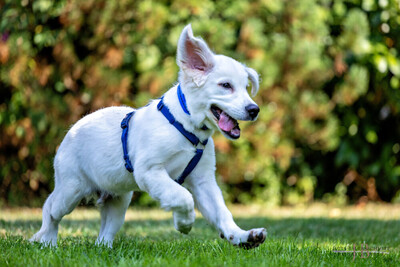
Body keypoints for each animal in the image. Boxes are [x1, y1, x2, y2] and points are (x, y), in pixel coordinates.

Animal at [31, 24, 268, 250]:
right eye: (225, 85)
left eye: (246, 87)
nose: (254, 110)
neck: (186, 127)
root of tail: (72, 129)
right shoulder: (149, 171)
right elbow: (183, 196)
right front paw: (184, 223)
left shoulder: (203, 180)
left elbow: (222, 212)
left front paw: (241, 236)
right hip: (71, 188)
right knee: (50, 209)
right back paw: (47, 241)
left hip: (118, 199)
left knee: (105, 231)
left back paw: (103, 249)